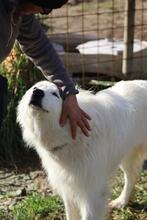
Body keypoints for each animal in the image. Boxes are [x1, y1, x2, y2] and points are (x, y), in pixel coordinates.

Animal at [16, 80, 147, 219]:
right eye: (35, 88)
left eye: (55, 94)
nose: (37, 92)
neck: (72, 136)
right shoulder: (68, 186)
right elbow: (71, 214)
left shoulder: (92, 193)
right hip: (128, 156)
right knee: (131, 176)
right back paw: (122, 201)